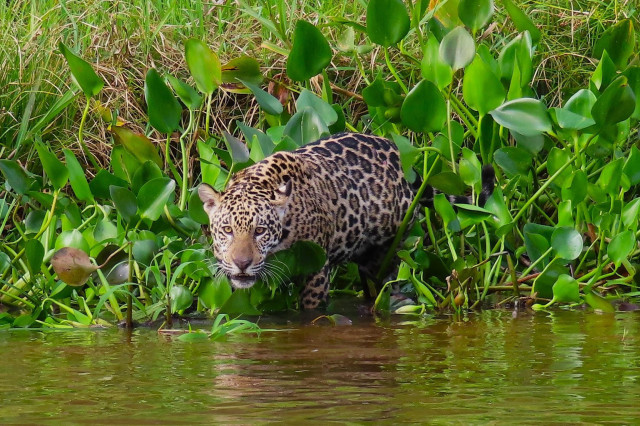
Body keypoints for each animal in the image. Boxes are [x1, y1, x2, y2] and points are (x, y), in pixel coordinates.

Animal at [198, 132, 493, 309]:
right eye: (227, 230)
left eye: (260, 231)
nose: (242, 263)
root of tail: (401, 156)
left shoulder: (317, 267)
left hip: (387, 250)